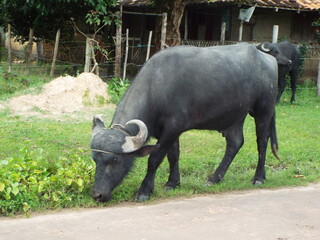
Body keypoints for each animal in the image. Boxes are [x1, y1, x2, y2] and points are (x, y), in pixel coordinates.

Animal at [89, 43, 280, 202]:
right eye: (95, 160)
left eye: (115, 161)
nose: (97, 194)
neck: (156, 88)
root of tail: (267, 58)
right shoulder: (168, 131)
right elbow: (173, 156)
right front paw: (172, 183)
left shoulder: (172, 128)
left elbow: (155, 159)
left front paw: (144, 191)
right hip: (235, 116)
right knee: (235, 143)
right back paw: (214, 178)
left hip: (264, 110)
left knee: (262, 142)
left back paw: (258, 178)